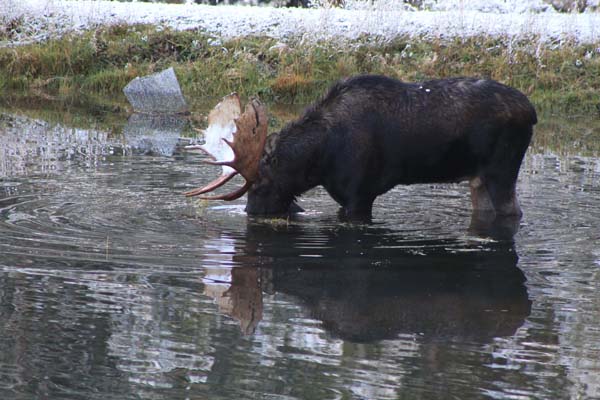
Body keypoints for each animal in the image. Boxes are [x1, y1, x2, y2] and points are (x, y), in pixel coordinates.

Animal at [185, 74, 536, 219]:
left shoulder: (361, 194)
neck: (319, 162)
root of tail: (532, 112)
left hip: (501, 170)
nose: (251, 214)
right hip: (477, 179)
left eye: (259, 187)